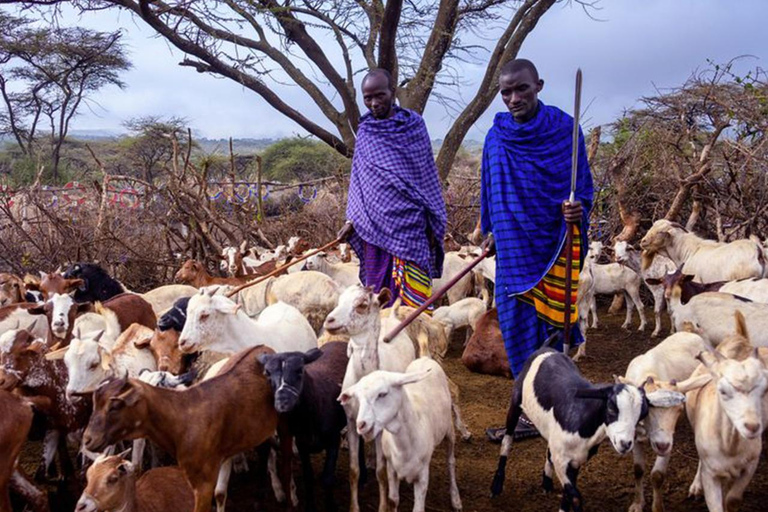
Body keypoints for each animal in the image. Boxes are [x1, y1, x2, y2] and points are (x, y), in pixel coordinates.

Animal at [340, 358, 462, 512]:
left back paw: (455, 498)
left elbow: (418, 508)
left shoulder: (422, 476)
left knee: (451, 461)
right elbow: (393, 501)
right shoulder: (392, 471)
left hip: (449, 429)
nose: (361, 424)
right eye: (357, 398)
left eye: (382, 394)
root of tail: (425, 358)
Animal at [488, 348, 680, 512]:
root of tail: (546, 349)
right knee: (507, 442)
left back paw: (547, 483)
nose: (625, 443)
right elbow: (575, 497)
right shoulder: (562, 460)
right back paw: (496, 485)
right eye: (611, 408)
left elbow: (568, 495)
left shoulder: (575, 460)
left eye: (642, 414)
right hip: (515, 403)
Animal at [620, 332, 712, 512]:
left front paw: (657, 507)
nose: (662, 445)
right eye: (646, 407)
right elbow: (638, 470)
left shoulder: (669, 440)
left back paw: (697, 487)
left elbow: (657, 475)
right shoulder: (635, 435)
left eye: (679, 409)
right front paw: (637, 503)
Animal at [684, 312, 768, 512]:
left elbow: (733, 499)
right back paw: (696, 486)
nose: (752, 426)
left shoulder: (751, 464)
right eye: (722, 390)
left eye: (765, 390)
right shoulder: (711, 473)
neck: (730, 447)